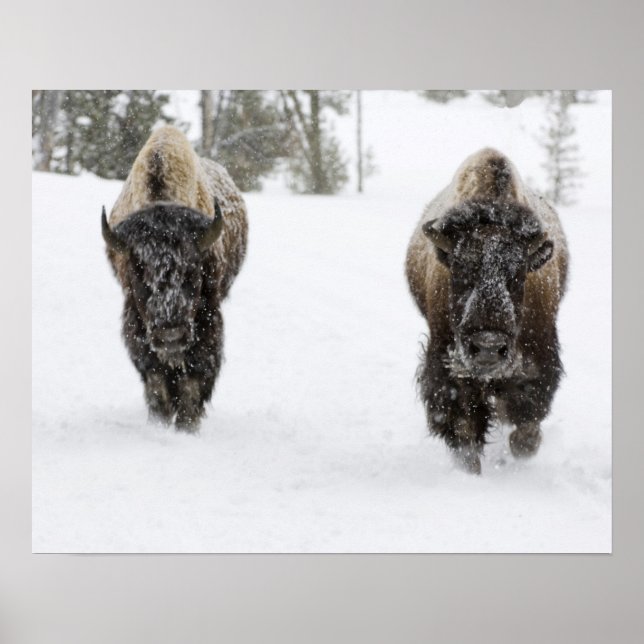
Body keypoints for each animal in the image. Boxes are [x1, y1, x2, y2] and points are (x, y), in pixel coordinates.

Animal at [102, 126, 248, 431]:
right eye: (138, 270)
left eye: (193, 269)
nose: (170, 335)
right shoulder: (137, 321)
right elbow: (155, 378)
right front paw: (160, 421)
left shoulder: (208, 318)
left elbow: (194, 378)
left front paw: (187, 426)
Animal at [405, 149, 568, 473]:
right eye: (460, 270)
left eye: (518, 274)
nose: (488, 347)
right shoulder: (447, 367)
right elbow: (464, 428)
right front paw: (471, 471)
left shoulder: (538, 360)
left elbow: (526, 425)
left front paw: (521, 449)